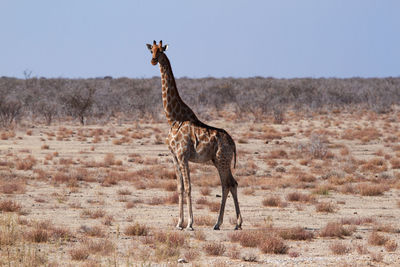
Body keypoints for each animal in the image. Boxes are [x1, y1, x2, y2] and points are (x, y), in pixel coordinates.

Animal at [146, 40, 242, 231]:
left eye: (161, 51)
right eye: (151, 50)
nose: (153, 60)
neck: (174, 118)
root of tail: (233, 143)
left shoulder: (183, 156)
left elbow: (189, 187)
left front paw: (190, 223)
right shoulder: (174, 157)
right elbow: (180, 187)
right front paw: (179, 223)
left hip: (222, 160)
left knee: (228, 184)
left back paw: (229, 223)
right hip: (218, 161)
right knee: (230, 184)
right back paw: (226, 224)